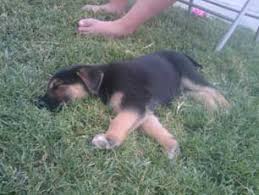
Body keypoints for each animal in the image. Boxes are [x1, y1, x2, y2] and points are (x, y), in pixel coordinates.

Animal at [37, 50, 230, 160]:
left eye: (57, 86)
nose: (37, 103)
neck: (105, 80)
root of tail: (182, 53)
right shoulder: (143, 110)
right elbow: (154, 128)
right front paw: (171, 146)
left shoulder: (135, 102)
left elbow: (119, 121)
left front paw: (108, 140)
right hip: (182, 89)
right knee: (203, 94)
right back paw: (211, 111)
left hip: (189, 76)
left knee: (213, 89)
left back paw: (226, 108)